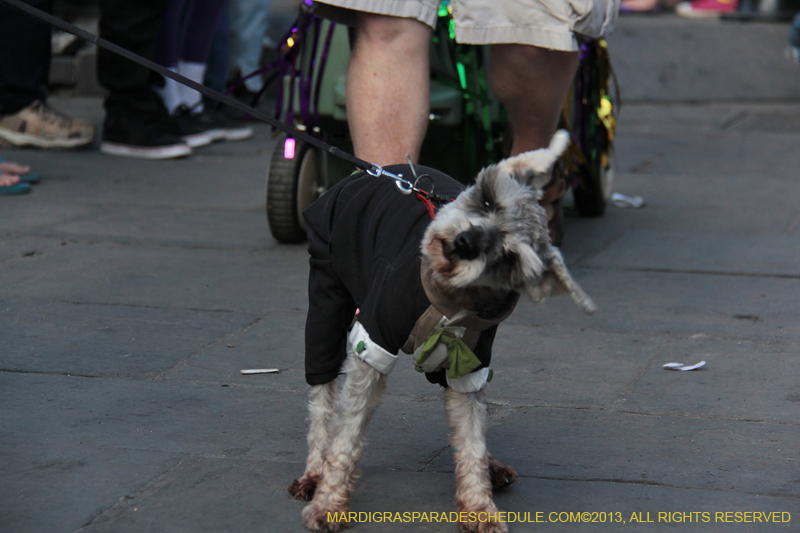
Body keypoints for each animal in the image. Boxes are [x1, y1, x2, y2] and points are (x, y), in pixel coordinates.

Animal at [288, 130, 592, 532]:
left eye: (510, 256)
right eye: (487, 200)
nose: (465, 242)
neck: (450, 299)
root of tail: (366, 172)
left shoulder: (469, 364)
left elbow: (471, 433)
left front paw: (479, 506)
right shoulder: (372, 345)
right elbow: (347, 431)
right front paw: (328, 503)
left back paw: (492, 467)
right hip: (327, 291)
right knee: (322, 396)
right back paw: (313, 471)